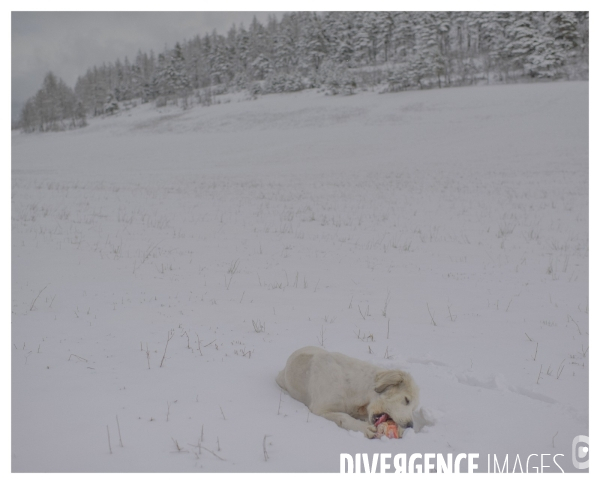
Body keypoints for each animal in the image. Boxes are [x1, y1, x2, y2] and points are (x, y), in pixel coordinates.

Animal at [276, 346, 418, 436]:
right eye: (406, 400)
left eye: (413, 409)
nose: (410, 425)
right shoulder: (320, 409)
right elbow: (343, 417)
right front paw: (364, 428)